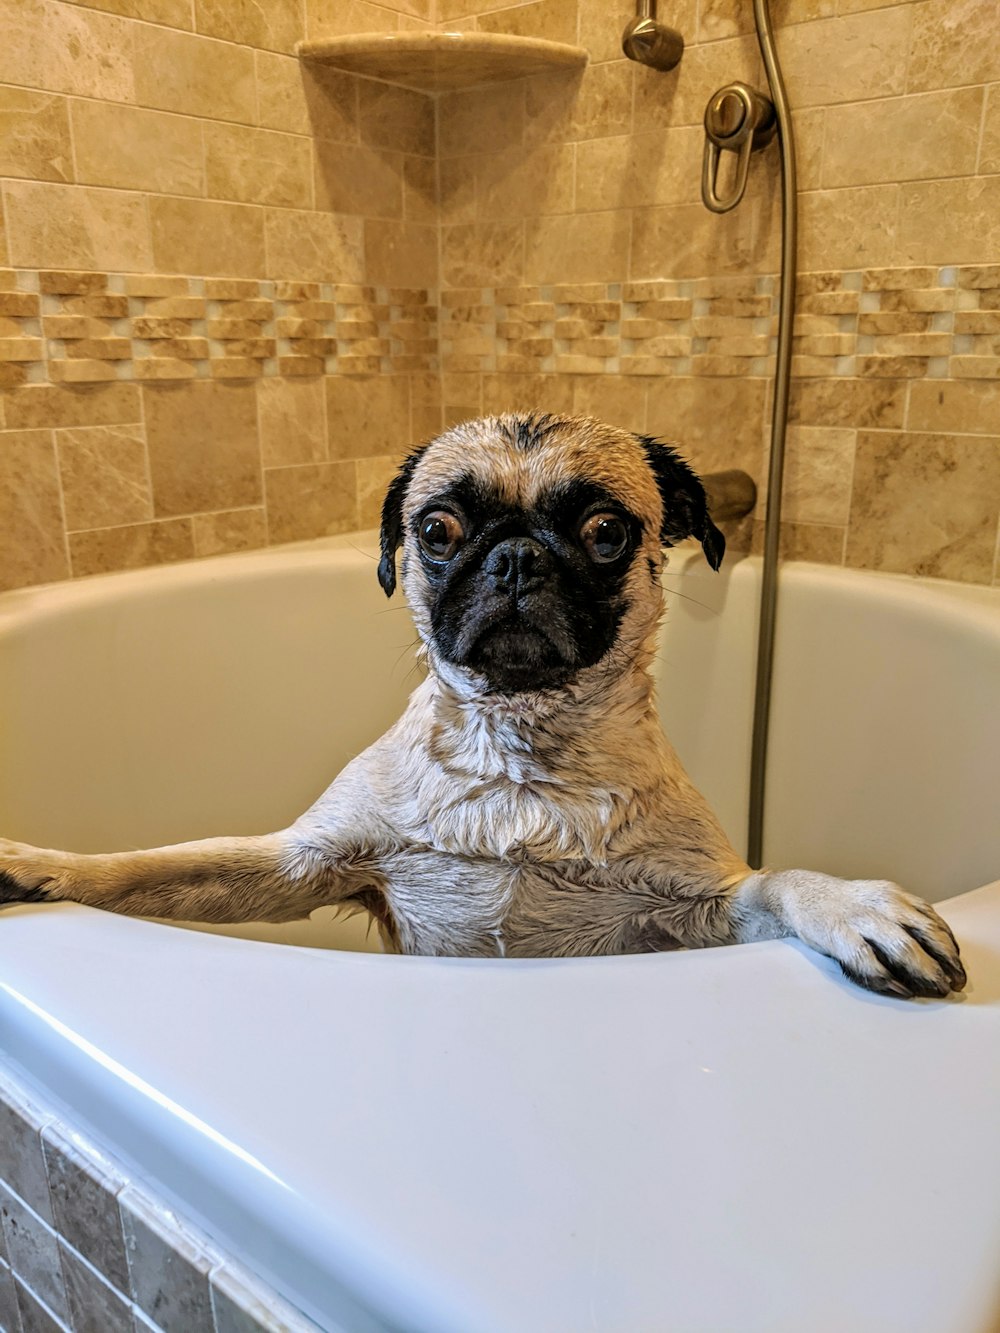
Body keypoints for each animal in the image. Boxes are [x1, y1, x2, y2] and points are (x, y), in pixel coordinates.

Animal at [1, 415, 970, 1002]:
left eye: (606, 532)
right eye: (437, 531)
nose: (515, 556)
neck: (518, 752)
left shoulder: (701, 914)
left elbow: (773, 880)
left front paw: (850, 903)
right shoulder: (297, 866)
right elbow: (148, 864)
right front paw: (38, 864)